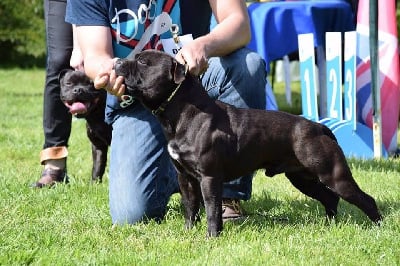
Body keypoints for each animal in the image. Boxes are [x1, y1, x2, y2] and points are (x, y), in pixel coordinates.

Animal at [114, 50, 382, 237]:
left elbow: (211, 210)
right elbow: (190, 207)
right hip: (302, 178)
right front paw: (188, 233)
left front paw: (212, 237)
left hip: (334, 175)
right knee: (329, 198)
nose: (117, 62)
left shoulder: (209, 178)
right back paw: (329, 225)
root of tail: (318, 127)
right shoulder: (186, 178)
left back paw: (379, 227)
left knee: (364, 199)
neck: (183, 111)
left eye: (143, 62)